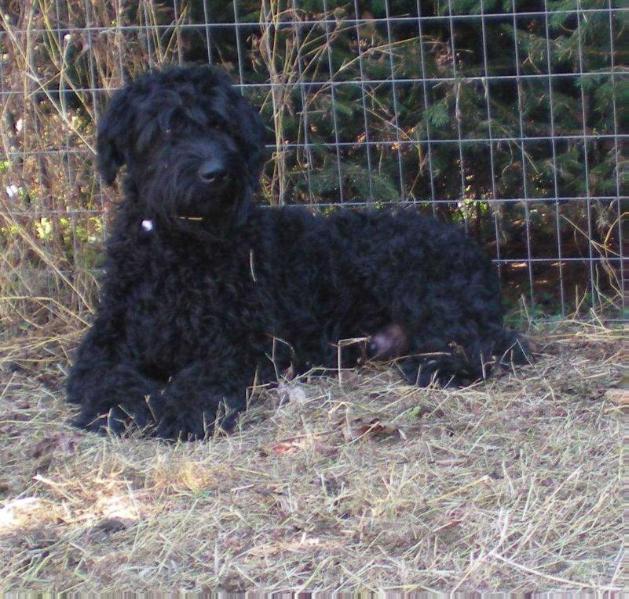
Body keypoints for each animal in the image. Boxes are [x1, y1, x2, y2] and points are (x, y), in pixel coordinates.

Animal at [66, 67, 528, 440]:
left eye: (221, 125)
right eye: (165, 129)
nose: (216, 173)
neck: (181, 248)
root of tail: (470, 247)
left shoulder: (239, 344)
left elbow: (202, 377)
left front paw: (181, 411)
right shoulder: (103, 345)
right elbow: (109, 378)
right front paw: (126, 407)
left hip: (419, 285)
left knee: (497, 344)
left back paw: (440, 368)